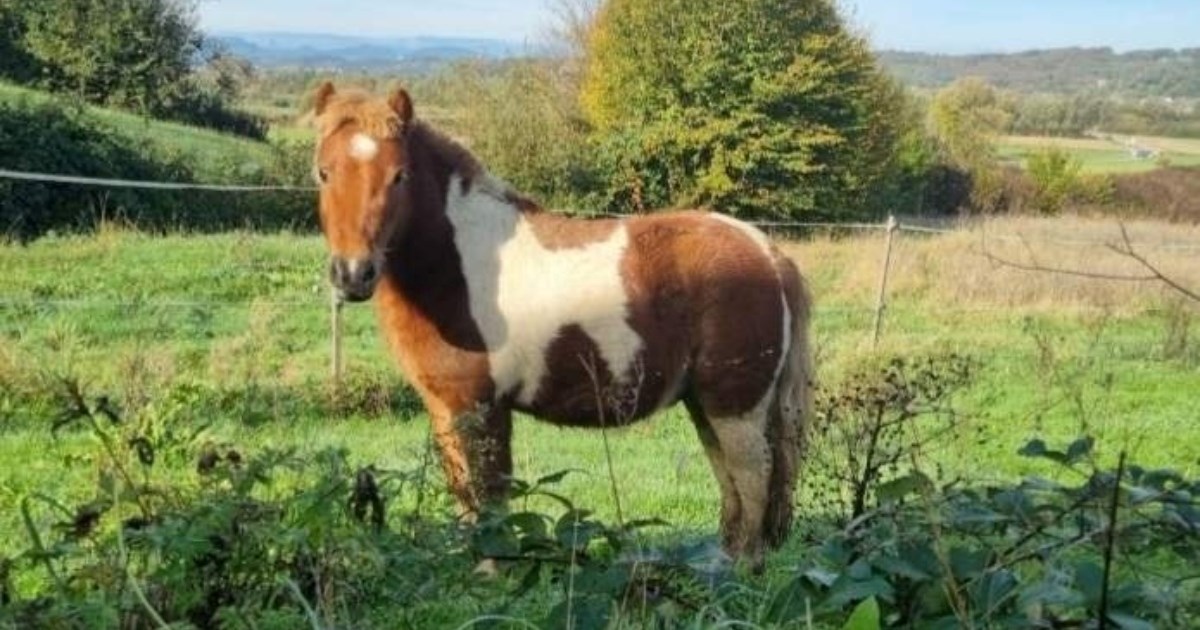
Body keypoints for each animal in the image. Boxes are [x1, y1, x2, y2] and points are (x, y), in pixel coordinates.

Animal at [309, 81, 816, 566]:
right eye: (323, 172)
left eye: (399, 175)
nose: (353, 274)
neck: (460, 264)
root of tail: (768, 253)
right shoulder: (445, 409)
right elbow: (465, 497)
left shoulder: (482, 408)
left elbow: (490, 500)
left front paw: (490, 573)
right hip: (705, 403)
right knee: (731, 480)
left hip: (735, 404)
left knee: (753, 478)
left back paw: (742, 571)